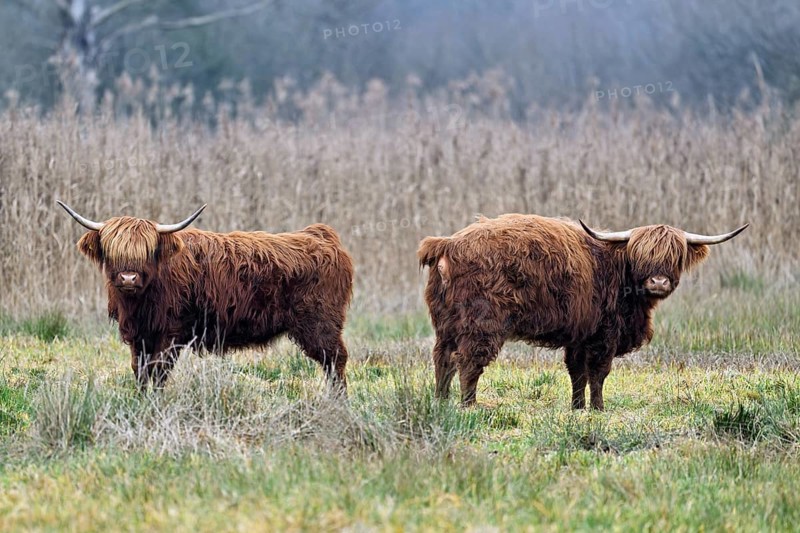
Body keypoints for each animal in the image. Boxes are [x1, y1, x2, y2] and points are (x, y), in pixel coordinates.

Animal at [58, 201, 354, 392]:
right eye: (113, 250)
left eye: (147, 251)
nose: (128, 278)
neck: (140, 303)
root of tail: (321, 235)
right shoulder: (139, 333)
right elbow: (140, 370)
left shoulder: (171, 331)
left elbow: (159, 370)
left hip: (320, 324)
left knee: (335, 361)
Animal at [418, 214, 747, 410]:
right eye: (641, 255)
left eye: (674, 255)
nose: (658, 281)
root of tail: (447, 244)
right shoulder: (605, 334)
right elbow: (598, 372)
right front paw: (598, 409)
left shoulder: (579, 335)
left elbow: (577, 373)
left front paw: (577, 408)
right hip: (481, 323)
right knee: (468, 362)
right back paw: (468, 404)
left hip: (446, 324)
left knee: (442, 360)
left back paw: (440, 401)